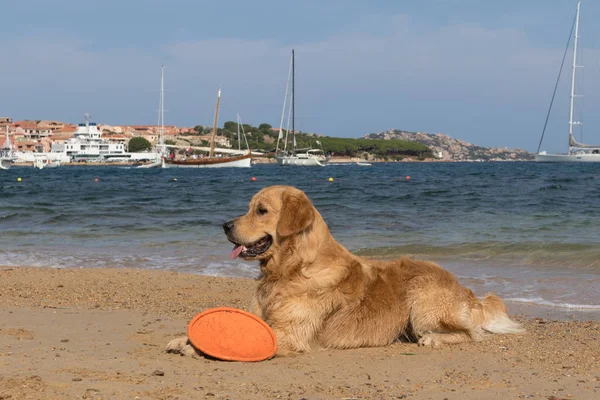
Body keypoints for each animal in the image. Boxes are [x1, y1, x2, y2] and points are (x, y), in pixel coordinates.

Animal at [166, 184, 524, 356]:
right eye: (249, 207)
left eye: (261, 210)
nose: (225, 225)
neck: (292, 270)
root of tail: (465, 289)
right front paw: (182, 339)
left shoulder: (290, 333)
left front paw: (193, 346)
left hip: (423, 304)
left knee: (471, 334)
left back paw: (433, 340)